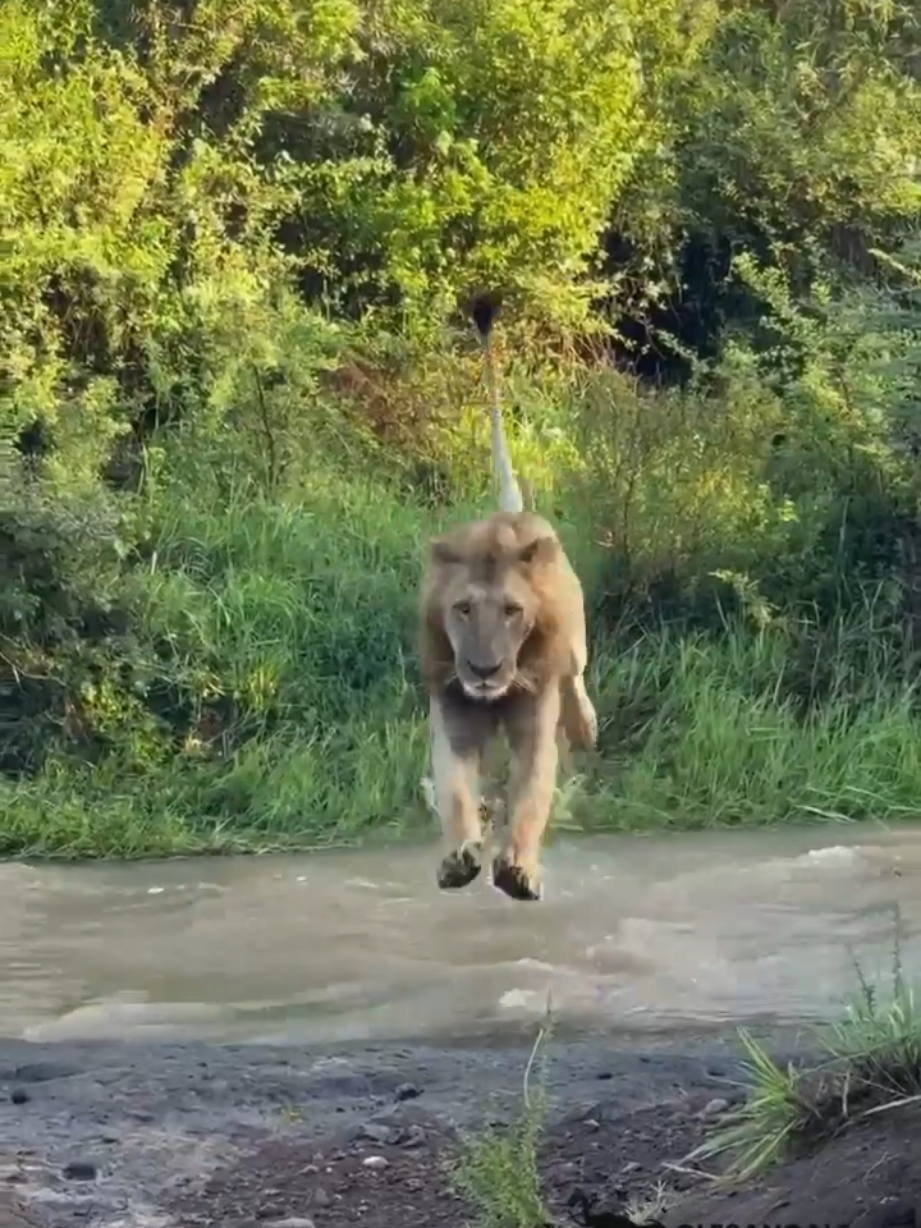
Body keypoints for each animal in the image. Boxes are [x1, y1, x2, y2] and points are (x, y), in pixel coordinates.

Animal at [417, 296, 598, 902]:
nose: (484, 669)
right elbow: (454, 790)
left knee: (578, 678)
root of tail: (512, 514)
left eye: (513, 613)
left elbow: (531, 796)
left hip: (575, 646)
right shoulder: (452, 710)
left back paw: (587, 725)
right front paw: (458, 860)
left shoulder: (535, 718)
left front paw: (518, 869)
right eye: (463, 610)